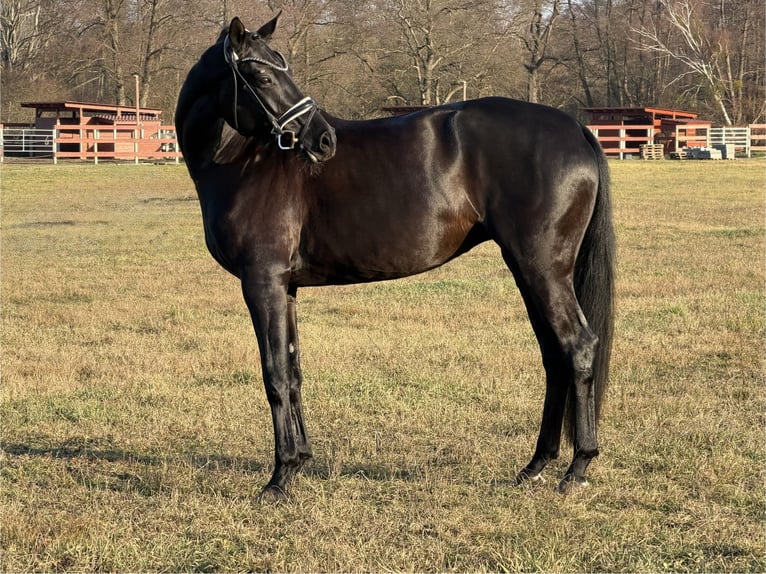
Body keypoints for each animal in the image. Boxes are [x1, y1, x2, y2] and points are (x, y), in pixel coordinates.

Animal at [175, 13, 615, 500]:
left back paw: (577, 467)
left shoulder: (262, 283)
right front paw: (301, 460)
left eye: (278, 70)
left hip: (544, 271)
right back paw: (536, 464)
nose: (322, 139)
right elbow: (292, 369)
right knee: (554, 355)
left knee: (578, 347)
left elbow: (274, 373)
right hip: (529, 271)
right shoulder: (284, 288)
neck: (240, 160)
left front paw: (279, 477)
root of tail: (574, 128)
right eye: (264, 75)